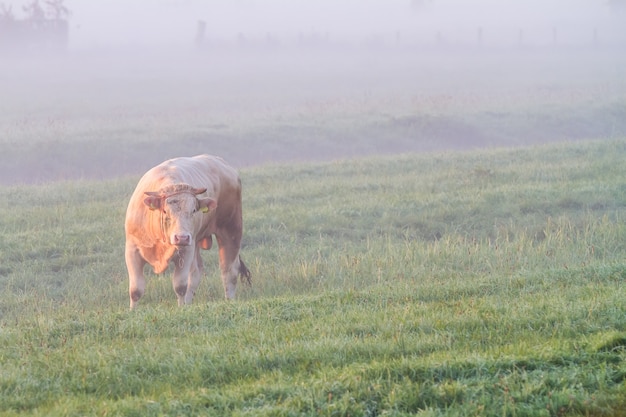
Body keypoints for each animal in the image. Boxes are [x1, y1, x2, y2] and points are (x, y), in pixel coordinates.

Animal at [123, 154, 250, 308]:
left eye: (194, 210)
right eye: (165, 211)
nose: (181, 237)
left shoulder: (185, 251)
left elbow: (180, 286)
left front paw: (180, 308)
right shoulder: (132, 250)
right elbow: (136, 290)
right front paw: (133, 310)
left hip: (230, 230)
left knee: (229, 270)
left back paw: (229, 301)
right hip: (196, 241)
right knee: (196, 273)